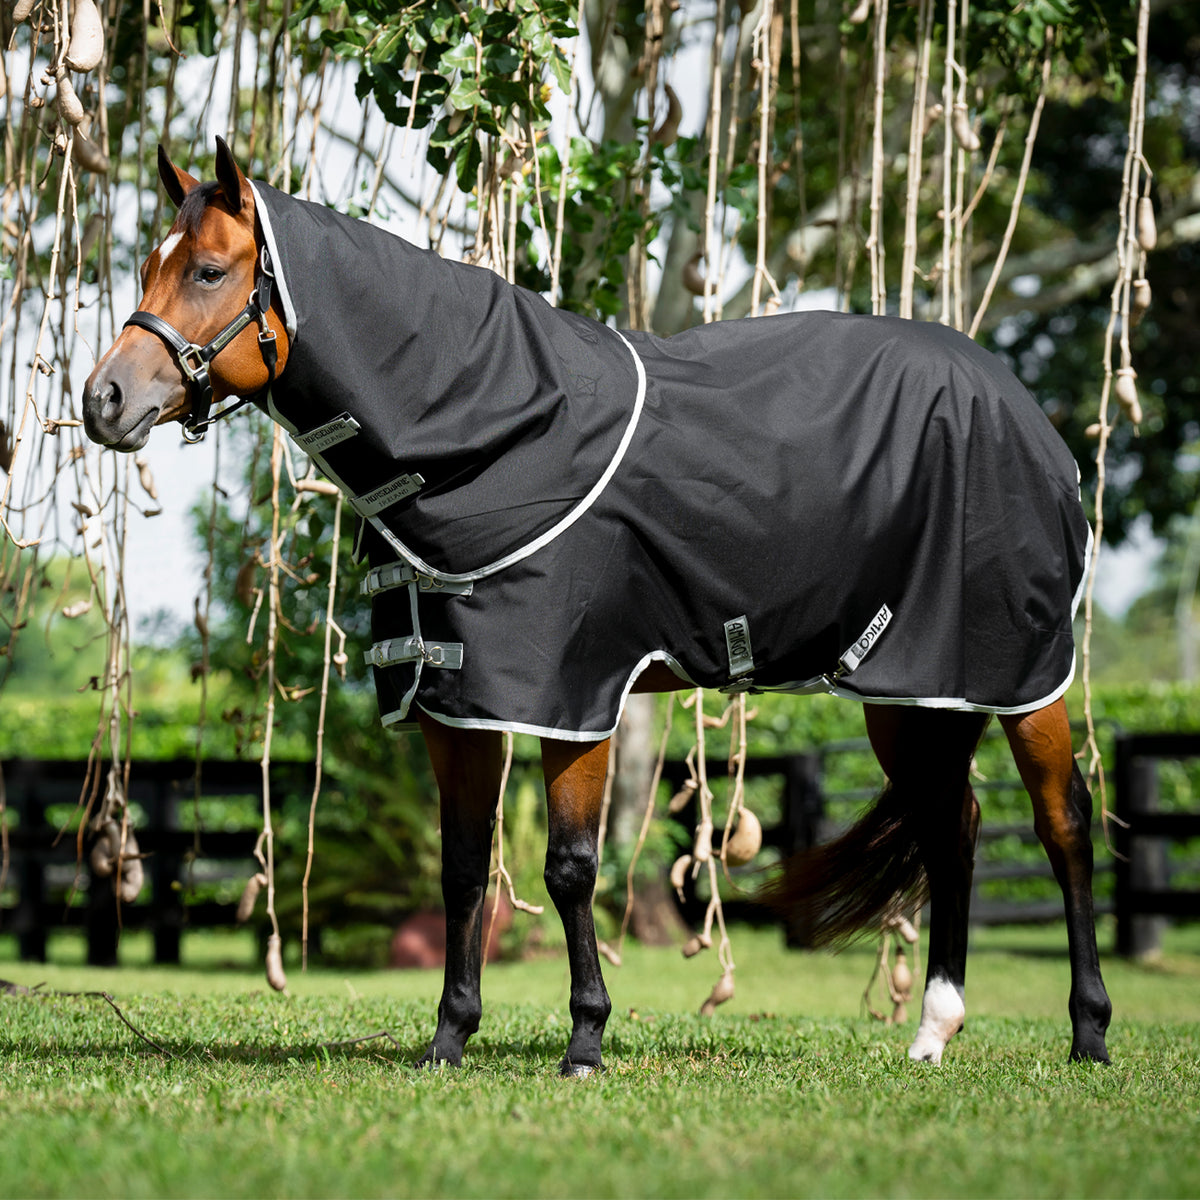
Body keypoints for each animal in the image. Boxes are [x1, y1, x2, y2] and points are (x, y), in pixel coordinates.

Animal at [82, 138, 1112, 1074]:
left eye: (209, 270)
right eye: (149, 267)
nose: (105, 399)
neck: (496, 430)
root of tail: (1018, 403)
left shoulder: (572, 699)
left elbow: (570, 867)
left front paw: (585, 1040)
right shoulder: (458, 706)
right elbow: (465, 869)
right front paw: (449, 1039)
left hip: (1022, 676)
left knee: (1062, 825)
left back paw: (1089, 1033)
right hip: (913, 689)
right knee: (952, 828)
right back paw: (934, 1030)